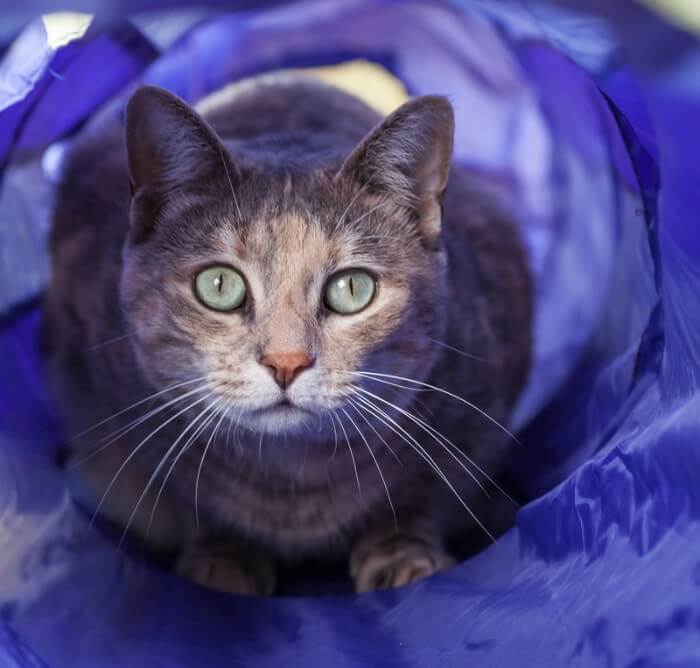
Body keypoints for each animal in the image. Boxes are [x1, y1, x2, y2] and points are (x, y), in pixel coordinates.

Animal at [42, 73, 532, 596]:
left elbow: (423, 492)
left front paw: (402, 557)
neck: (293, 478)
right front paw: (224, 562)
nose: (286, 362)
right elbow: (187, 499)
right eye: (219, 284)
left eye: (352, 288)